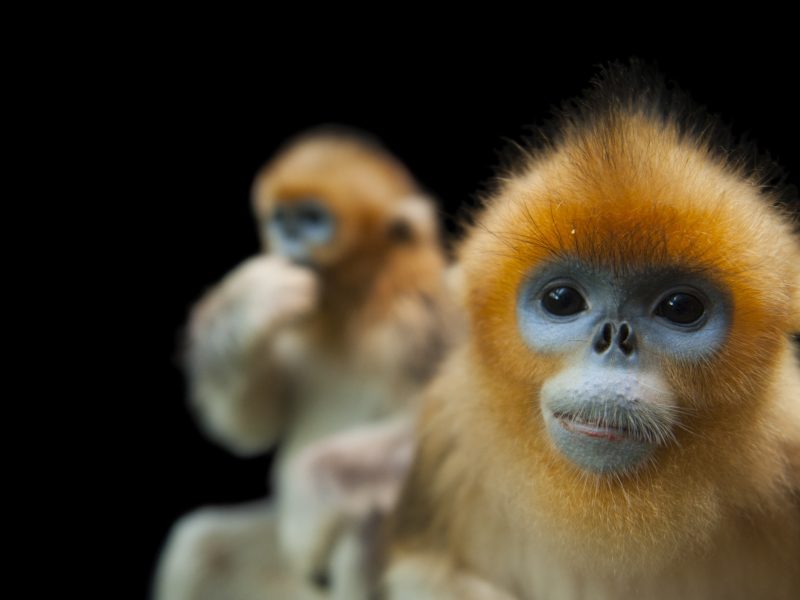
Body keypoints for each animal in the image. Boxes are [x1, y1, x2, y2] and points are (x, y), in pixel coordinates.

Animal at [154, 127, 457, 600]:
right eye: (282, 219)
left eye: (314, 220)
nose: (290, 239)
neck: (353, 305)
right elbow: (252, 425)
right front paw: (249, 302)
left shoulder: (427, 310)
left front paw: (311, 490)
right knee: (200, 547)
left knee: (365, 526)